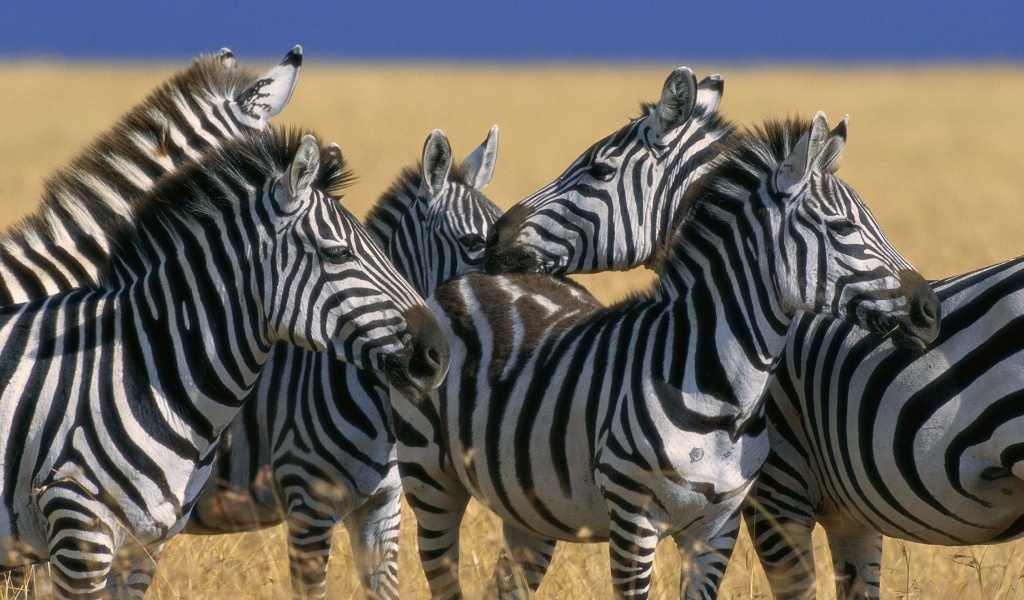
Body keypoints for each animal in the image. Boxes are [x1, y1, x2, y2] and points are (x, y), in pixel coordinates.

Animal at [395, 108, 937, 597]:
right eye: (843, 228)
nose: (929, 309)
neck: (723, 395)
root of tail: (466, 276)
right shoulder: (634, 520)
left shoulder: (717, 528)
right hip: (430, 478)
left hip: (527, 504)